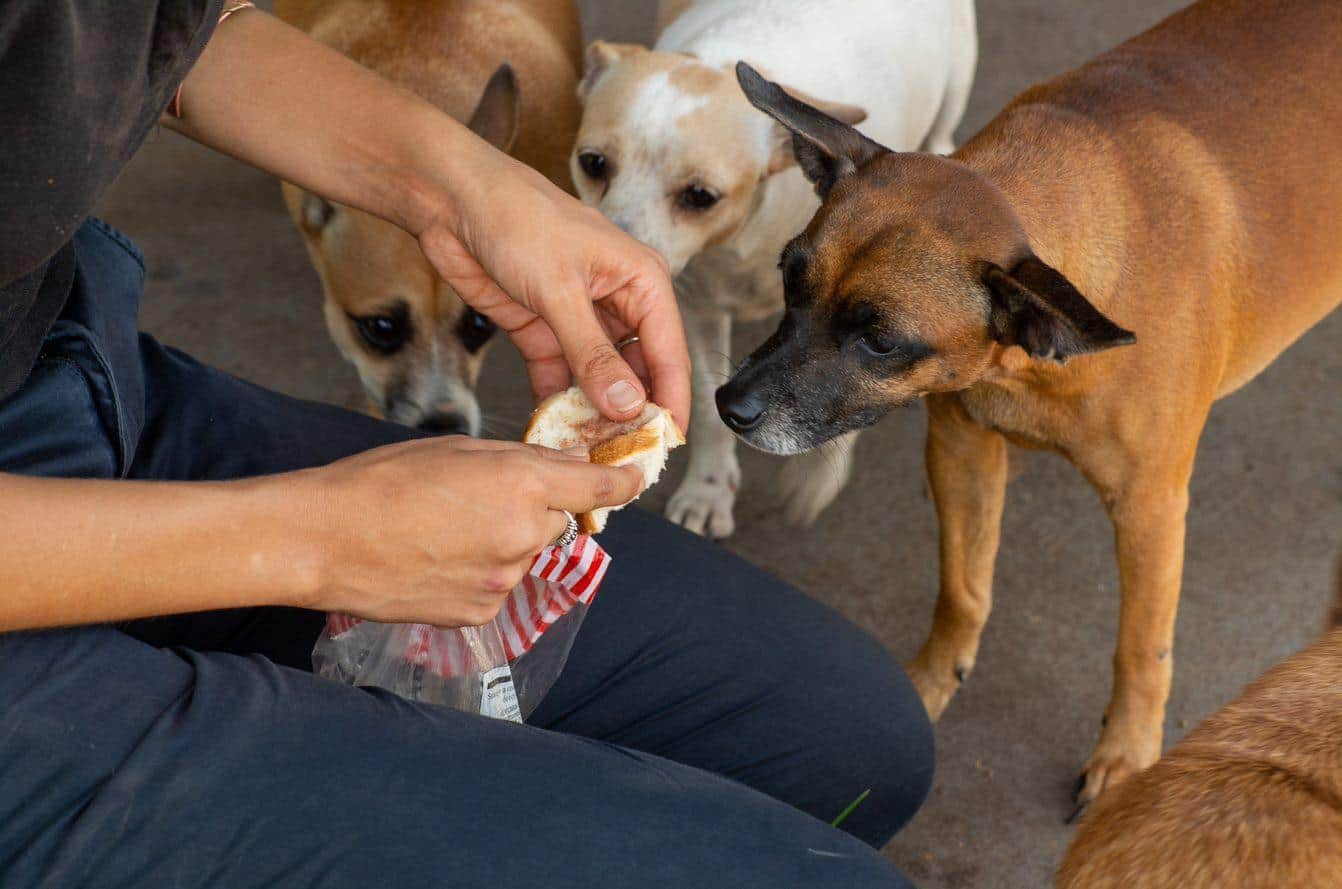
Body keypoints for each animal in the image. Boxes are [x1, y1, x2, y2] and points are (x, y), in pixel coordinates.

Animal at [571, 0, 982, 537]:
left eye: (699, 196)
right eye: (592, 163)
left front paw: (815, 478)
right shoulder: (696, 307)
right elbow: (707, 404)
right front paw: (708, 489)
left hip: (958, 70)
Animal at [719, 0, 1342, 816]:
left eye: (879, 340)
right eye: (790, 277)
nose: (730, 405)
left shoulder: (1150, 508)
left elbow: (1141, 646)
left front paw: (1126, 755)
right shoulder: (961, 449)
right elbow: (962, 589)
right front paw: (930, 683)